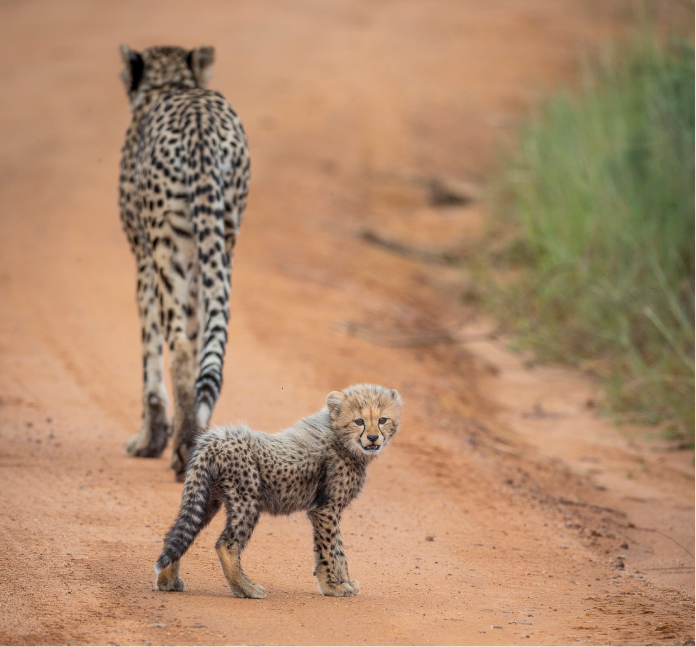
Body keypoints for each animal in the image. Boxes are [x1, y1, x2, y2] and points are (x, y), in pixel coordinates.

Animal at [118, 44, 250, 480]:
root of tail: (199, 124)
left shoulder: (144, 258)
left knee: (176, 347)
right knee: (209, 344)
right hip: (222, 241)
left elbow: (150, 355)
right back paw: (193, 439)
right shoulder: (195, 261)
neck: (172, 84)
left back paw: (181, 449)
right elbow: (196, 337)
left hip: (167, 249)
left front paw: (150, 439)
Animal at [154, 383, 402, 598]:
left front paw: (345, 582)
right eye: (359, 421)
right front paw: (333, 586)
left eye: (382, 420)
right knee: (226, 545)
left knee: (176, 533)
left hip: (206, 498)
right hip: (247, 500)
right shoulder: (325, 509)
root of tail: (215, 438)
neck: (342, 439)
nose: (373, 438)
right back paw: (245, 589)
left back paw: (168, 582)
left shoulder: (329, 510)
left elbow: (339, 549)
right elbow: (329, 549)